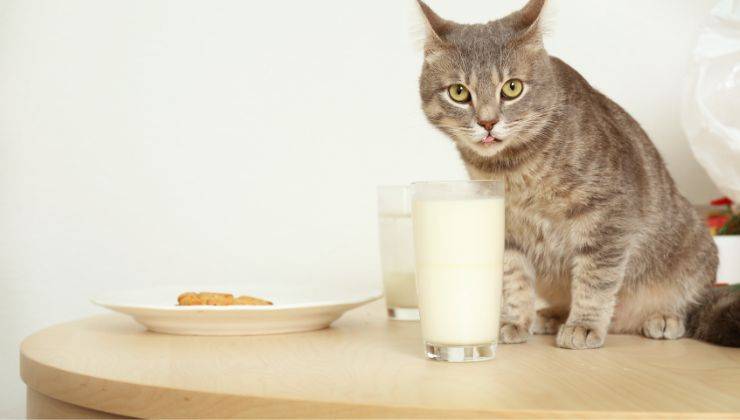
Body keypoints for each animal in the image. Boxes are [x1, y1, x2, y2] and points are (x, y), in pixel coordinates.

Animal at [416, 0, 740, 348]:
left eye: (512, 88)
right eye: (459, 92)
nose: (487, 123)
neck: (513, 170)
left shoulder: (608, 214)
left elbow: (596, 277)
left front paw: (584, 324)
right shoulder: (507, 228)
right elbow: (514, 279)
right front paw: (514, 320)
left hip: (694, 254)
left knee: (691, 307)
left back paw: (664, 317)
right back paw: (552, 315)